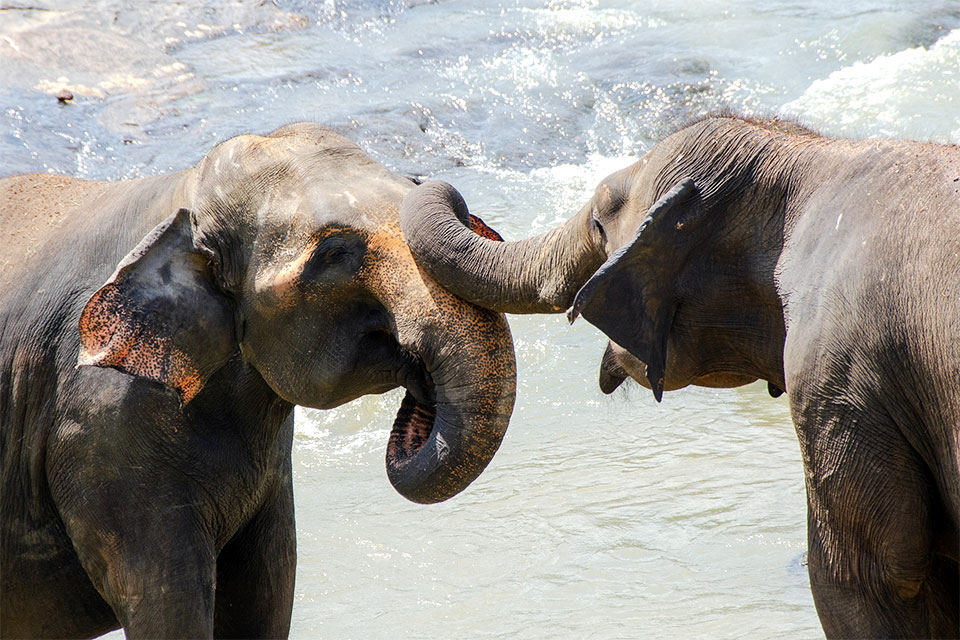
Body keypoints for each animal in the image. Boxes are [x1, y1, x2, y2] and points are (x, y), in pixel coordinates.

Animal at [0, 122, 516, 636]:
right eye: (334, 253)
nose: (435, 186)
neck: (183, 196)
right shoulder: (102, 430)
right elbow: (168, 603)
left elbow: (267, 592)